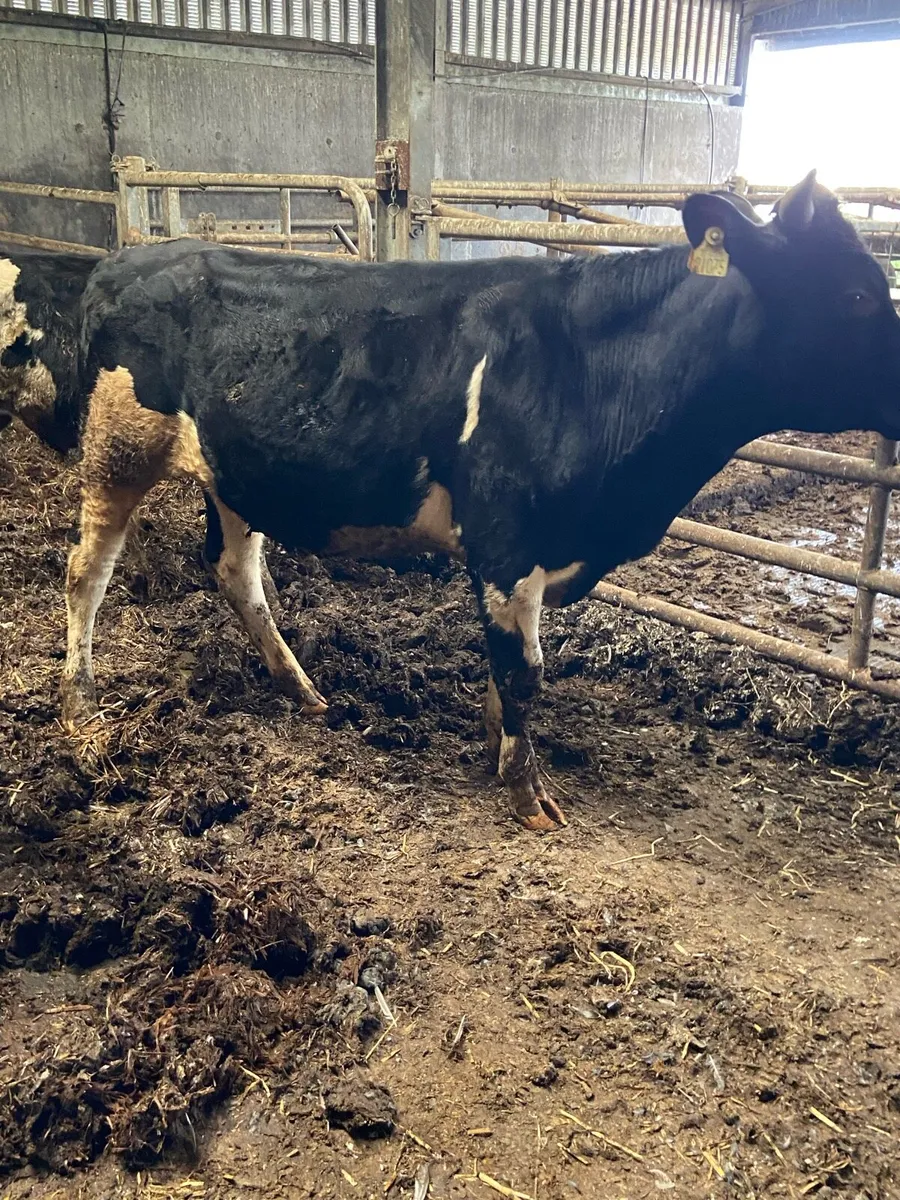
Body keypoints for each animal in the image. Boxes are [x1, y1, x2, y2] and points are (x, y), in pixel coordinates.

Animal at [62, 171, 900, 831]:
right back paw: (80, 703)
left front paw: (497, 753)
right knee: (85, 574)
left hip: (235, 471)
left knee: (237, 574)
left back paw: (303, 691)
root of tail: (126, 259)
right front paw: (530, 797)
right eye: (860, 293)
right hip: (118, 446)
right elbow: (524, 671)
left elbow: (507, 669)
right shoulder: (506, 538)